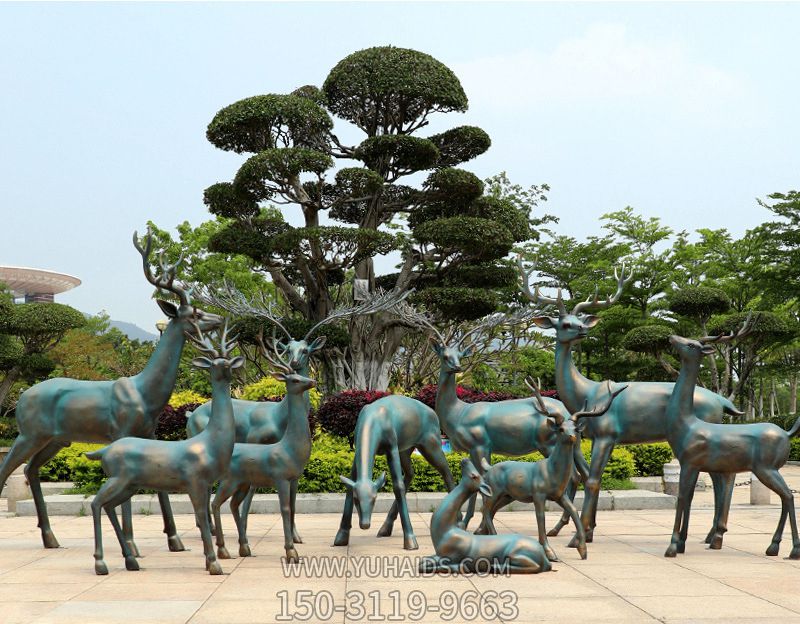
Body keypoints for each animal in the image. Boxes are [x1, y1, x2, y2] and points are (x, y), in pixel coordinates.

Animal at [86, 322, 241, 576]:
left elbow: (205, 517)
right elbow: (201, 516)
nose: (227, 368)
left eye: (227, 359)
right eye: (214, 364)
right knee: (96, 503)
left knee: (108, 506)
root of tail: (103, 452)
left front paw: (211, 560)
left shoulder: (206, 483)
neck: (209, 442)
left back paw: (131, 561)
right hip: (118, 479)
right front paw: (214, 563)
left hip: (130, 485)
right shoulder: (195, 482)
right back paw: (101, 564)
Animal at [332, 394, 456, 552]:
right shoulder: (358, 454)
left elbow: (397, 487)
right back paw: (385, 528)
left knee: (447, 472)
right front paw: (341, 536)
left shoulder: (391, 447)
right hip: (406, 449)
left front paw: (410, 541)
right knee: (410, 473)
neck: (374, 421)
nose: (365, 524)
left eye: (374, 499)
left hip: (430, 445)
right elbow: (349, 486)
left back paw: (459, 522)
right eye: (356, 499)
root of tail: (434, 414)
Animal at [418, 458, 552, 576]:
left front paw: (462, 567)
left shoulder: (451, 555)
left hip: (515, 553)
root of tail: (545, 559)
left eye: (474, 475)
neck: (446, 530)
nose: (465, 459)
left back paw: (495, 567)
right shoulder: (438, 554)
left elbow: (425, 565)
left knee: (534, 566)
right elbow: (423, 561)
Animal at [478, 380, 628, 560]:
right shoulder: (538, 493)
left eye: (575, 428)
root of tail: (489, 468)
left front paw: (582, 550)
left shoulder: (559, 495)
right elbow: (540, 518)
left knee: (491, 510)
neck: (551, 473)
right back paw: (492, 535)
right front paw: (550, 552)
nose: (572, 436)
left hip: (508, 495)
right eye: (561, 429)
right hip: (494, 490)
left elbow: (573, 511)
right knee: (485, 508)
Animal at [664, 316, 800, 560]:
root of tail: (787, 433)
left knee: (788, 496)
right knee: (786, 497)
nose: (671, 337)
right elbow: (689, 499)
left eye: (691, 344)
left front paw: (671, 547)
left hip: (766, 469)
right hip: (769, 470)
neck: (686, 424)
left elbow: (681, 498)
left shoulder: (689, 463)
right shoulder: (696, 466)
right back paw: (773, 547)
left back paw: (792, 550)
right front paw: (680, 545)